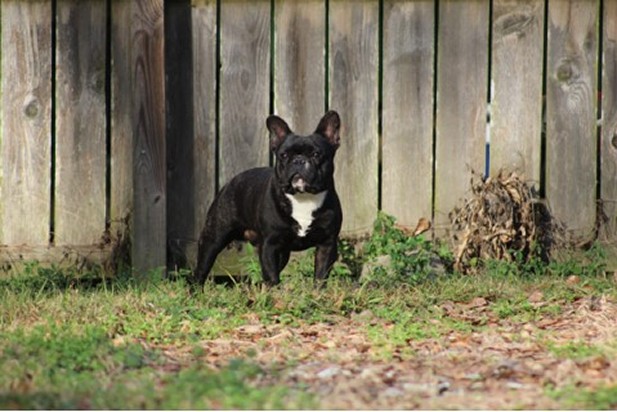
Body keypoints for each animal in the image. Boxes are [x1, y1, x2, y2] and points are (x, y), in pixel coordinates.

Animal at [191, 111, 342, 288]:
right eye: (284, 155)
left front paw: (317, 292)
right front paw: (274, 293)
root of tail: (231, 181)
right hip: (213, 238)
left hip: (283, 253)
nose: (298, 160)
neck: (303, 197)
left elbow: (320, 274)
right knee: (201, 269)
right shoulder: (270, 244)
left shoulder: (327, 244)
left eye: (316, 154)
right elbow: (272, 276)